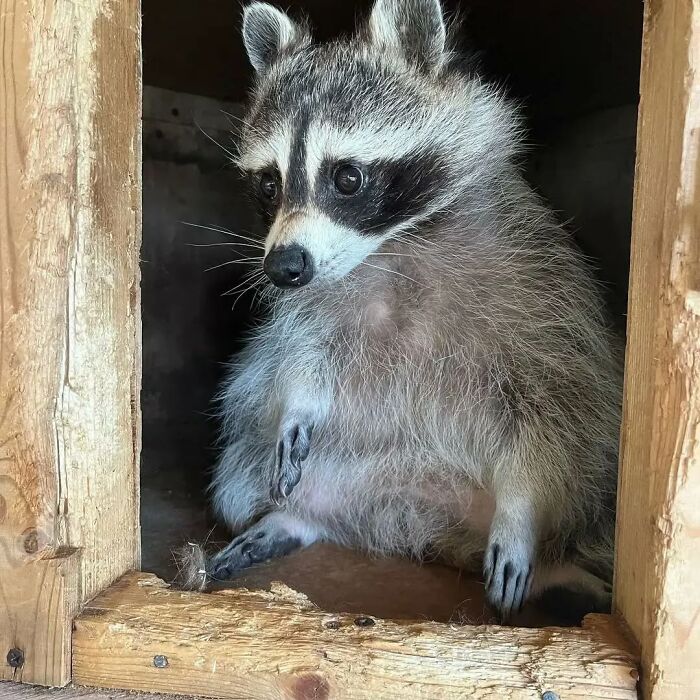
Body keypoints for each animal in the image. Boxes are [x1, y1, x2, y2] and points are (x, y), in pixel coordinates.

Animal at [205, 0, 620, 616]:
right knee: (245, 471)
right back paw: (292, 518)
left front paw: (521, 512)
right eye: (270, 184)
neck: (395, 244)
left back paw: (558, 567)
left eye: (346, 177)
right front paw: (299, 405)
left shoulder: (540, 287)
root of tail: (424, 526)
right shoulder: (317, 301)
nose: (283, 267)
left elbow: (554, 412)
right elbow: (300, 353)